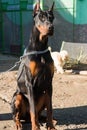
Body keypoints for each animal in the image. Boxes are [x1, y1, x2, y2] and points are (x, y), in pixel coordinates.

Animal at [11, 2, 56, 130]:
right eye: (41, 17)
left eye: (52, 18)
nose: (51, 27)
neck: (40, 48)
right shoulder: (29, 83)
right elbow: (33, 110)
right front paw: (35, 127)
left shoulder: (49, 83)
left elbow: (50, 108)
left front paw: (50, 126)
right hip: (17, 96)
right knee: (16, 116)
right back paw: (19, 123)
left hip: (44, 94)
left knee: (40, 113)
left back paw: (48, 121)